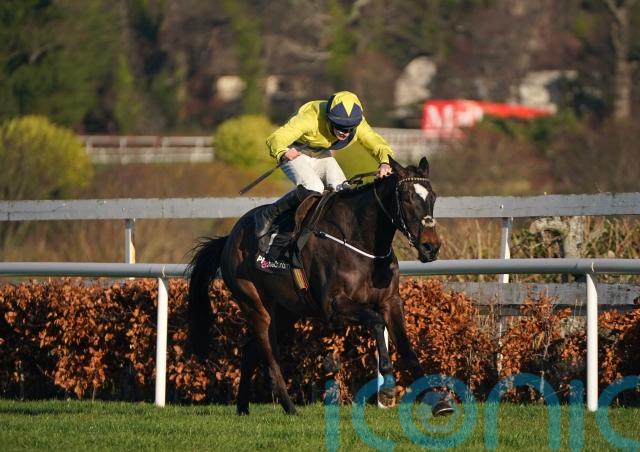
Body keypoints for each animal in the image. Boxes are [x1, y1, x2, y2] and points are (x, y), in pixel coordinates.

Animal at [187, 156, 452, 416]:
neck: (360, 240)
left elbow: (408, 351)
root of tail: (228, 239)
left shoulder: (390, 301)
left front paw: (438, 402)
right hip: (254, 304)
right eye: (406, 198)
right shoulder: (334, 305)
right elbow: (376, 322)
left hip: (285, 312)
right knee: (270, 358)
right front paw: (387, 382)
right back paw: (290, 407)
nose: (431, 247)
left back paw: (243, 407)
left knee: (251, 351)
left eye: (433, 197)